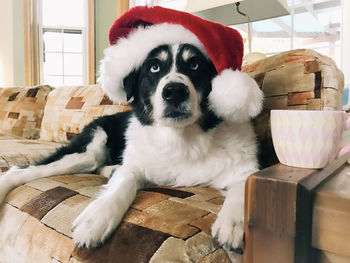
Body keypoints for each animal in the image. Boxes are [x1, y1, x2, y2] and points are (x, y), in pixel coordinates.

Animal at [0, 19, 262, 260]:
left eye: (195, 64)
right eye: (154, 68)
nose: (174, 92)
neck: (182, 139)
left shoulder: (243, 165)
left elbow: (244, 185)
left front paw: (233, 224)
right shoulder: (135, 163)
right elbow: (124, 181)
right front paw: (96, 218)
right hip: (89, 149)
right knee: (21, 170)